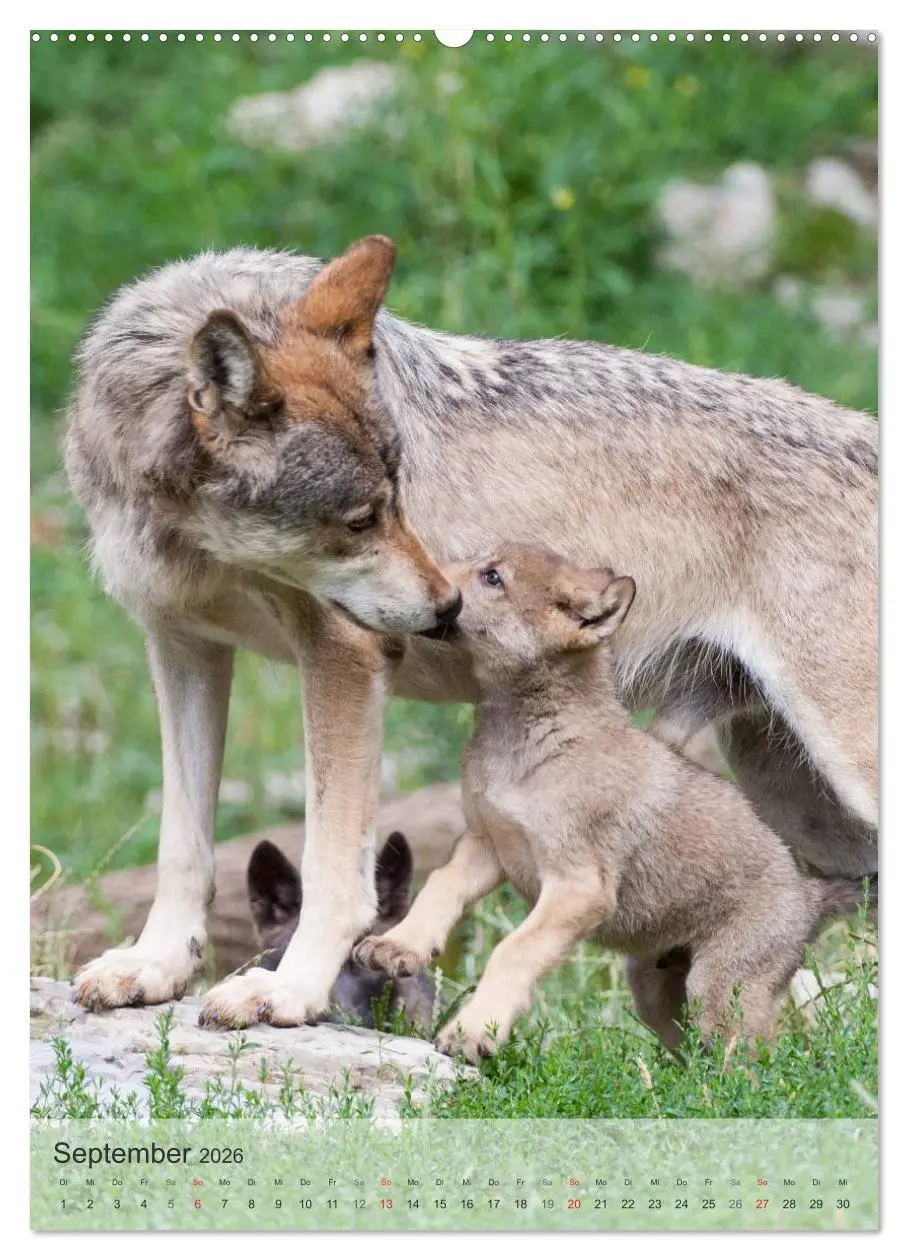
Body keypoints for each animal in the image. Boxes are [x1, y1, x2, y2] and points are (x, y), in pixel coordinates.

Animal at [354, 544, 876, 1062]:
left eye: (493, 577)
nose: (425, 580)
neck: (533, 742)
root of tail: (809, 893)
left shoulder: (577, 886)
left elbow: (513, 949)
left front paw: (472, 1032)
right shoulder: (485, 845)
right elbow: (439, 889)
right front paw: (397, 946)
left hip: (718, 994)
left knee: (759, 1063)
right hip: (655, 992)